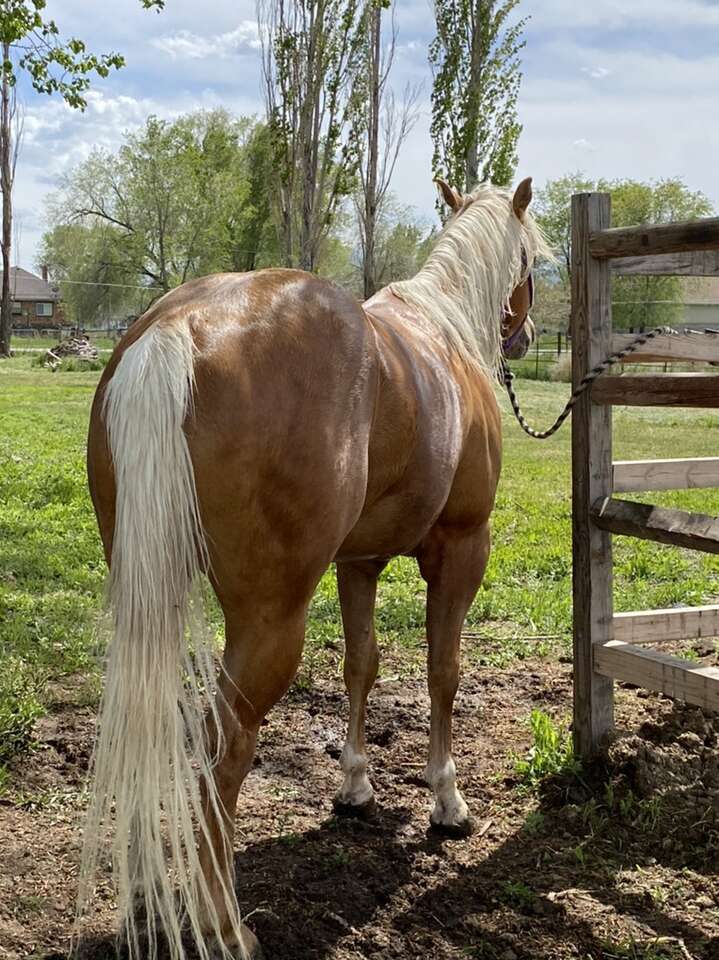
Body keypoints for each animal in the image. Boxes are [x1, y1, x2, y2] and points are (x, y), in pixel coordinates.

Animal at [79, 177, 549, 960]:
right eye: (533, 260)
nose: (528, 333)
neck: (444, 331)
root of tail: (178, 328)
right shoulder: (462, 550)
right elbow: (443, 671)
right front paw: (446, 800)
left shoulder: (358, 562)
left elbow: (362, 665)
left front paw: (355, 786)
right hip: (270, 621)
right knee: (224, 745)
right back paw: (220, 922)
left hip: (151, 593)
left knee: (152, 721)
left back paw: (148, 894)